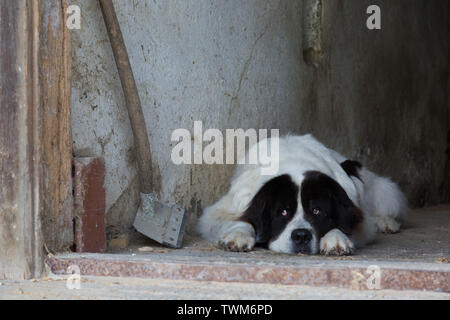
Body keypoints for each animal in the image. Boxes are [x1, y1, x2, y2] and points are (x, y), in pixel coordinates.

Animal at [197, 134, 408, 255]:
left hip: (384, 192)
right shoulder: (223, 209)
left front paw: (335, 239)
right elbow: (241, 219)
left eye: (317, 211)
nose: (301, 236)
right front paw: (238, 235)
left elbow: (343, 224)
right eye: (282, 212)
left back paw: (386, 222)